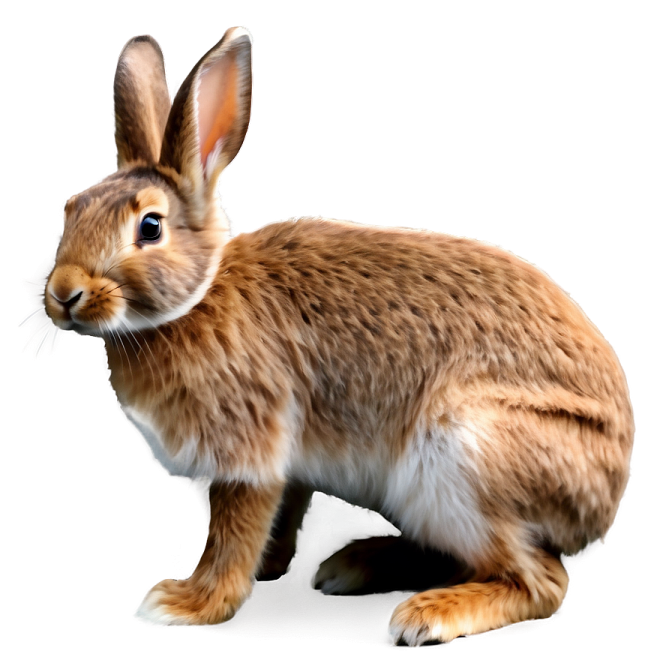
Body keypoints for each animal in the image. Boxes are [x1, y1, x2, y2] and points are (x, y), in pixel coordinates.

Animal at [19, 26, 635, 645]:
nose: (63, 292)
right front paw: (269, 565)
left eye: (150, 227)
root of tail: (608, 497)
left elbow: (232, 538)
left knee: (538, 582)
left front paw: (183, 602)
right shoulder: (281, 468)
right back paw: (354, 566)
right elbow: (281, 514)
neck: (196, 300)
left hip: (461, 458)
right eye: (69, 211)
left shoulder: (247, 454)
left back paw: (426, 614)